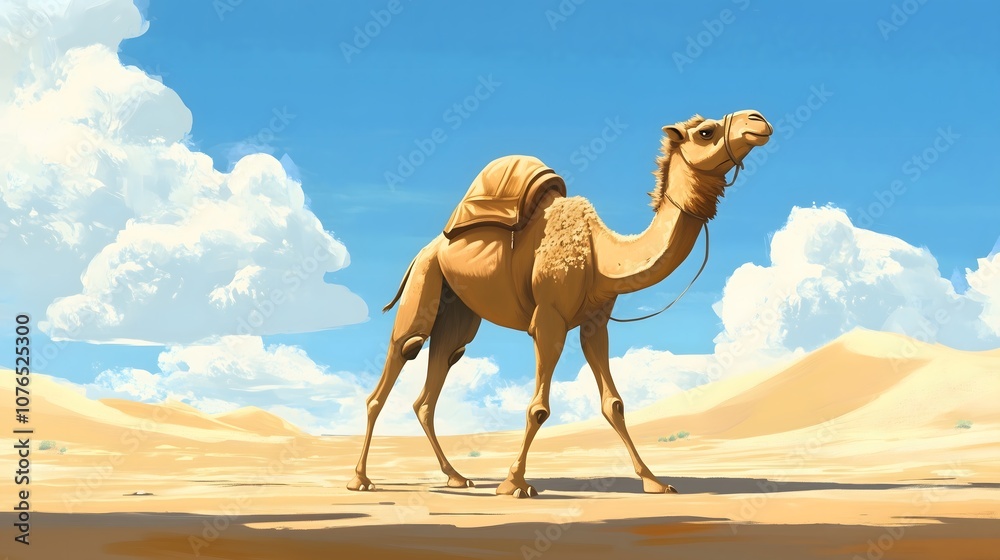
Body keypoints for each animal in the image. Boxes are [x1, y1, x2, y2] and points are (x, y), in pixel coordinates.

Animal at [348, 109, 773, 497]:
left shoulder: (594, 323)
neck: (601, 254)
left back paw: (455, 477)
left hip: (458, 314)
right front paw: (514, 483)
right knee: (396, 361)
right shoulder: (548, 319)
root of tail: (426, 249)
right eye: (706, 131)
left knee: (433, 384)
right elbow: (539, 407)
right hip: (425, 283)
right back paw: (361, 479)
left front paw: (654, 481)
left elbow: (614, 403)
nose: (758, 120)